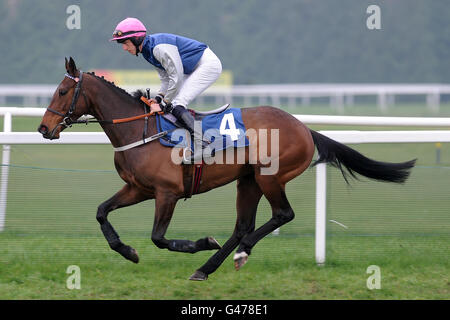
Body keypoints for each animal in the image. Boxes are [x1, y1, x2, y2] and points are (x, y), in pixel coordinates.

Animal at [38, 57, 414, 280]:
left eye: (62, 91)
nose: (43, 128)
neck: (139, 132)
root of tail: (304, 128)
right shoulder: (138, 188)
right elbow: (102, 211)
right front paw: (128, 251)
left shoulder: (167, 193)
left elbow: (159, 237)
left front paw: (200, 242)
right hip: (247, 180)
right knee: (242, 225)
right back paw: (209, 267)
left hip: (268, 176)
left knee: (281, 215)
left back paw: (238, 252)